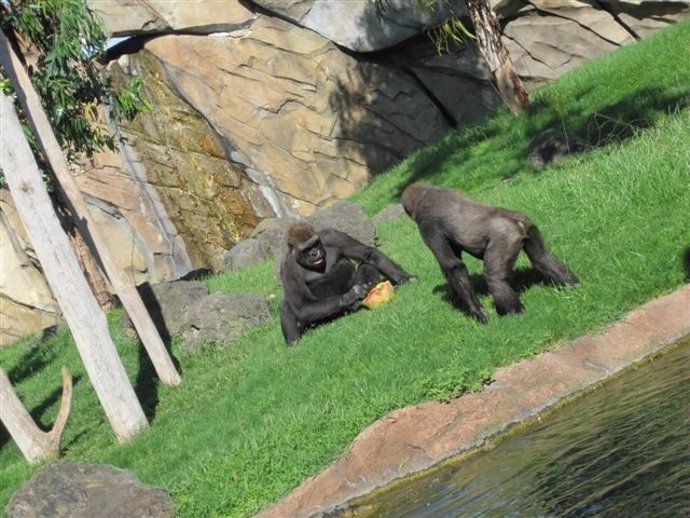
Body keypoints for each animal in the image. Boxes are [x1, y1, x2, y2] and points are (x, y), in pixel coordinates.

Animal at [278, 223, 414, 346]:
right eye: (306, 249)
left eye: (315, 244)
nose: (314, 252)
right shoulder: (287, 269)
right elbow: (302, 306)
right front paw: (350, 296)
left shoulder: (332, 236)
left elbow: (368, 254)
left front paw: (404, 278)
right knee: (285, 305)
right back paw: (293, 343)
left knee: (366, 264)